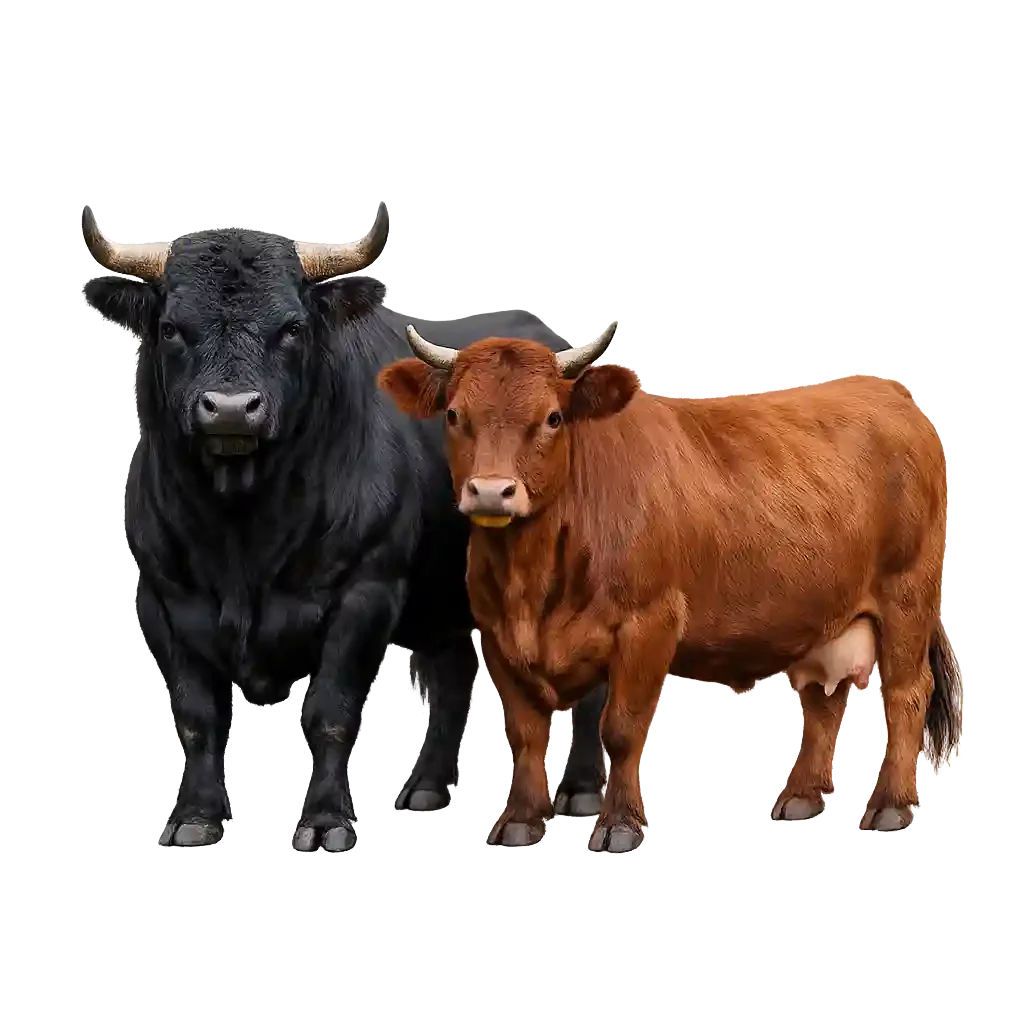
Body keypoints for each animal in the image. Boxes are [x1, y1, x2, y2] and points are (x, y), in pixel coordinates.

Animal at [92, 202, 608, 851]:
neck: (242, 530)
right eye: (171, 328)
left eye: (291, 327)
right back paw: (426, 788)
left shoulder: (365, 594)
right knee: (450, 674)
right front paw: (195, 818)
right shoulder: (163, 601)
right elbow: (197, 715)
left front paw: (325, 823)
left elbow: (330, 712)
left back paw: (582, 791)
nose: (231, 409)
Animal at [377, 324, 965, 853]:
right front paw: (521, 821)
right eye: (454, 415)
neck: (533, 584)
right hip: (827, 613)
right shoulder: (497, 635)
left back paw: (890, 807)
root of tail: (882, 387)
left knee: (906, 695)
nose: (491, 491)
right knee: (823, 700)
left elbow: (620, 729)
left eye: (552, 417)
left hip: (908, 595)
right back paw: (802, 798)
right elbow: (525, 733)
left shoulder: (648, 624)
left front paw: (618, 826)